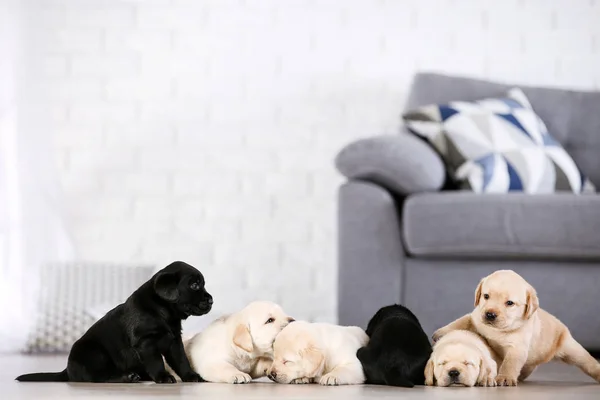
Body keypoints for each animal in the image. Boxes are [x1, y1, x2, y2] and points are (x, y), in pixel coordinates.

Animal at [16, 260, 212, 382]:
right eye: (194, 285)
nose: (211, 300)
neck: (162, 312)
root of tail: (68, 370)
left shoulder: (174, 341)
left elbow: (181, 360)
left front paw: (191, 376)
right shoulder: (146, 343)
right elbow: (156, 361)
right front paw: (163, 377)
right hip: (95, 353)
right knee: (99, 377)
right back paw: (128, 377)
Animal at [432, 270, 600, 386]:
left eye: (510, 303)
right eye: (486, 296)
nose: (490, 314)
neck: (499, 329)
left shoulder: (517, 347)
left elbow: (510, 362)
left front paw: (505, 377)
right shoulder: (476, 318)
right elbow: (461, 321)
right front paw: (441, 333)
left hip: (571, 349)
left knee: (588, 363)